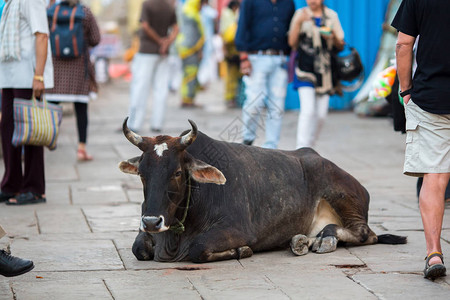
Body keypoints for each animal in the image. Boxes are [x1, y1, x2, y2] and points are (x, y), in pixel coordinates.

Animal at [118, 117, 406, 262]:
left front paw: (241, 251)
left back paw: (325, 238)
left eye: (177, 172)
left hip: (344, 198)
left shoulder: (237, 229)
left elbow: (199, 249)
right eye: (142, 173)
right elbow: (139, 248)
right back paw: (303, 240)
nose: (152, 221)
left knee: (366, 234)